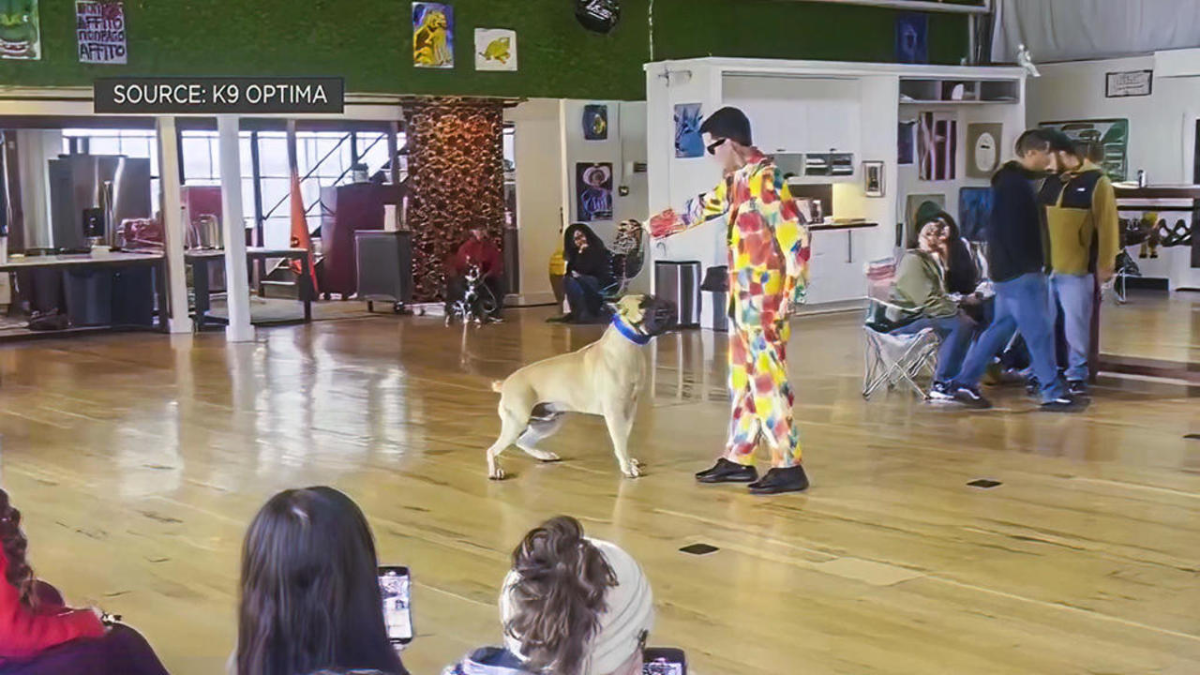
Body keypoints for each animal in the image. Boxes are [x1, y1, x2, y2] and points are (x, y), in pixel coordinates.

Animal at [484, 294, 676, 478]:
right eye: (643, 304)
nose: (669, 306)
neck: (627, 343)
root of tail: (505, 384)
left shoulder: (628, 411)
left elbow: (625, 437)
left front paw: (629, 460)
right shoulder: (615, 413)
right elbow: (620, 441)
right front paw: (627, 466)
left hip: (548, 422)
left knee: (523, 441)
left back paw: (544, 455)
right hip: (516, 421)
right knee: (493, 449)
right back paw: (496, 471)